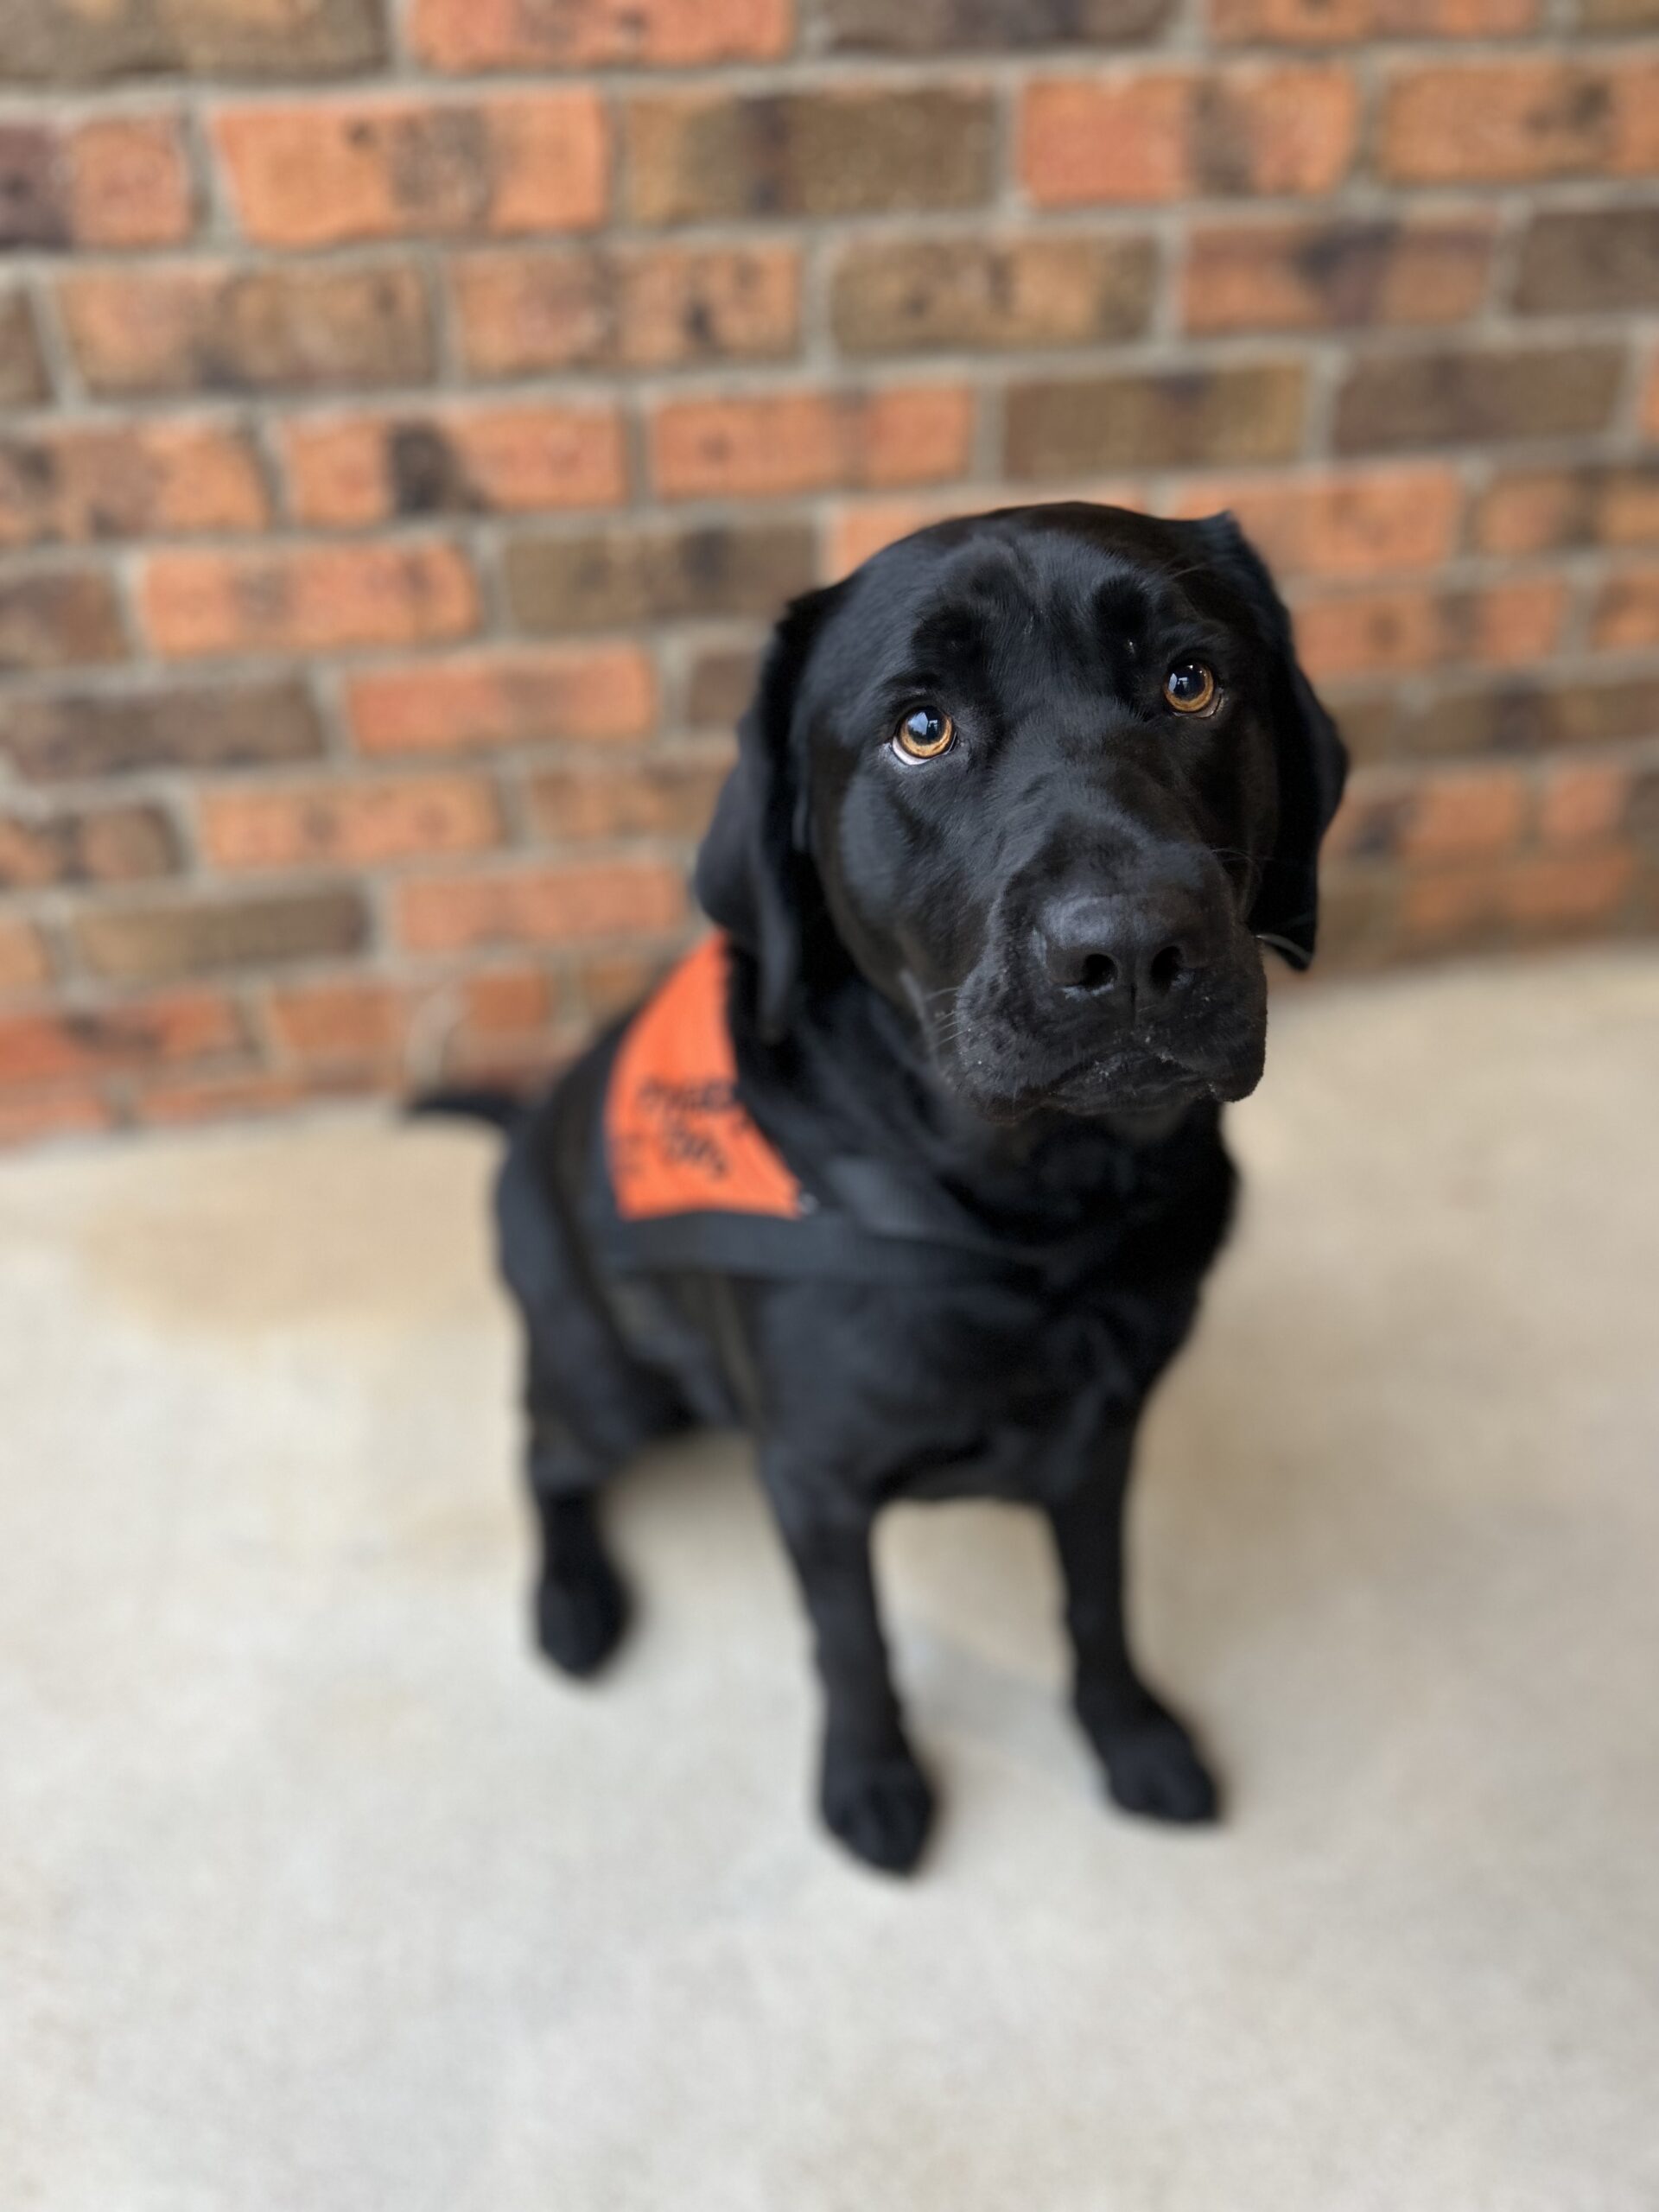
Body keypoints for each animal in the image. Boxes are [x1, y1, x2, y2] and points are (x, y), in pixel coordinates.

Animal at [442, 508, 1353, 1875]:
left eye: (1191, 681)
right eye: (922, 728)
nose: (1132, 947)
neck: (1041, 1217)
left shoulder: (1105, 1436)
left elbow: (1099, 1602)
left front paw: (1130, 1736)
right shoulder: (815, 1480)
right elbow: (852, 1640)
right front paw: (870, 1781)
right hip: (612, 1382)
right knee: (543, 1455)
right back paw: (572, 1600)